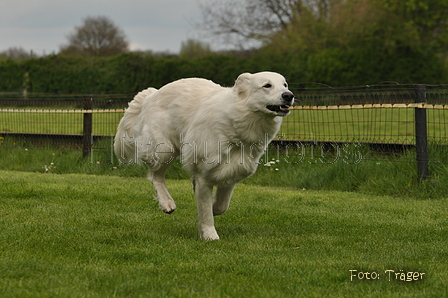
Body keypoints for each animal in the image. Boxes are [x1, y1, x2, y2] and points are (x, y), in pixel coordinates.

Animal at [114, 71, 294, 240]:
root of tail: (151, 94)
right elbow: (206, 211)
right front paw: (209, 235)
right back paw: (167, 203)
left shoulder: (232, 171)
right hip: (164, 149)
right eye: (267, 85)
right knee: (155, 176)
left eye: (285, 84)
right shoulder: (203, 176)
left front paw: (210, 212)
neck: (236, 120)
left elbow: (221, 206)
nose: (289, 95)